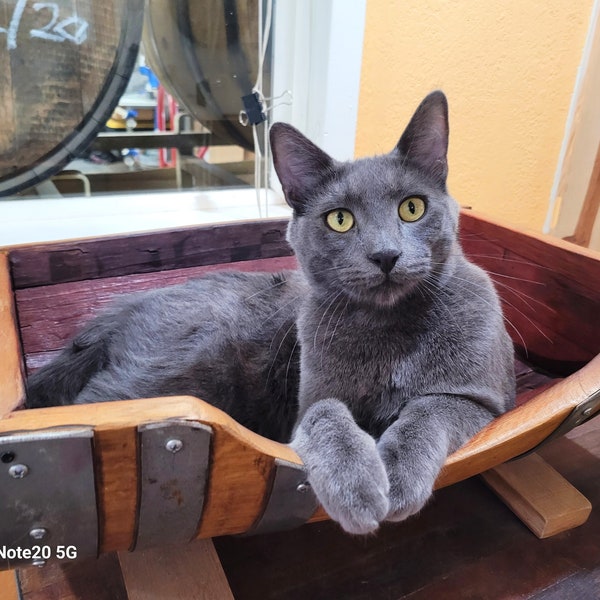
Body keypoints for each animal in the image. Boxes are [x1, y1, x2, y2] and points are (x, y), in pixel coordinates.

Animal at [27, 92, 516, 536]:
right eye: (340, 220)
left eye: (412, 208)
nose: (385, 255)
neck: (388, 330)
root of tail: (123, 306)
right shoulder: (309, 400)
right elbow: (326, 414)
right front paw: (356, 486)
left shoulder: (485, 400)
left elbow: (429, 408)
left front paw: (395, 476)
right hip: (175, 372)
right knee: (95, 411)